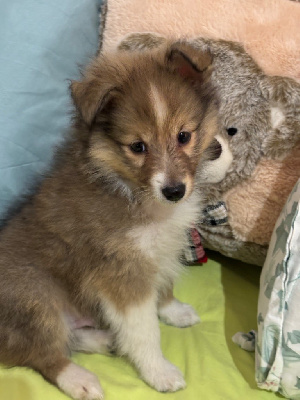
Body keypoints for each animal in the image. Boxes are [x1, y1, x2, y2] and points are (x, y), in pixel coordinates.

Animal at [0, 41, 219, 400]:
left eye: (184, 135)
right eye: (137, 146)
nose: (174, 191)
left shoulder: (162, 249)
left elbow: (164, 287)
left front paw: (173, 311)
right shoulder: (121, 271)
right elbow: (144, 330)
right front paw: (159, 372)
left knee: (65, 337)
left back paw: (105, 340)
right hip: (33, 294)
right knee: (42, 353)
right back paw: (80, 379)